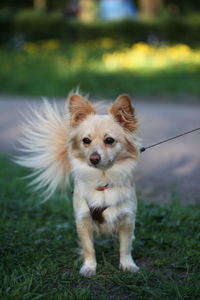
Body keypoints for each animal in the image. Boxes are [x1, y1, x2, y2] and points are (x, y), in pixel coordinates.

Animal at [16, 93, 141, 276]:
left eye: (109, 140)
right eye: (86, 140)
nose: (94, 158)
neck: (102, 181)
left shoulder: (127, 219)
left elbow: (125, 247)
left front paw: (128, 265)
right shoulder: (82, 220)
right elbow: (89, 248)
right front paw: (89, 267)